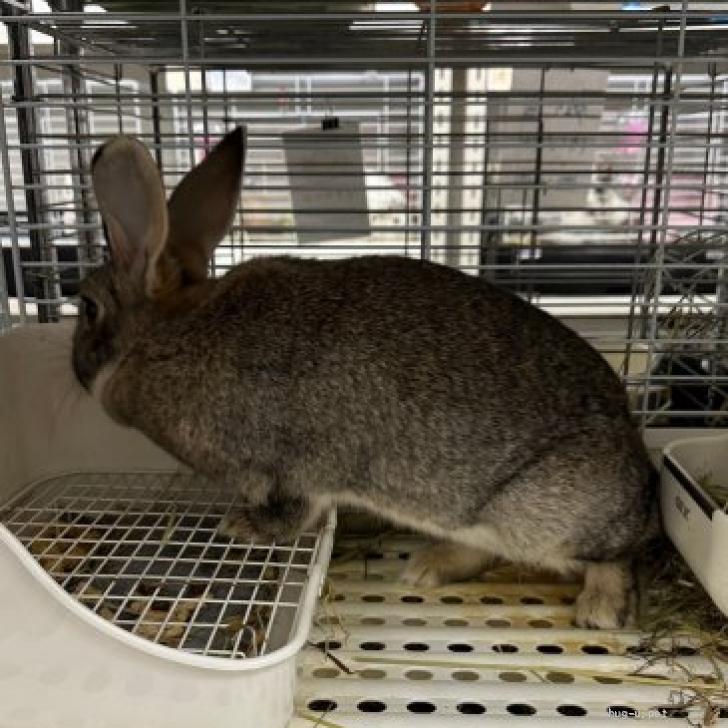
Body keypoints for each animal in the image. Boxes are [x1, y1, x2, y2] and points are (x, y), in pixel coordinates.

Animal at [72, 126, 660, 630]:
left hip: (547, 515)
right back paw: (427, 569)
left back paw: (600, 610)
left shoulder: (288, 468)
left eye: (86, 307)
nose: (75, 372)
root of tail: (638, 456)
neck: (169, 335)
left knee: (620, 552)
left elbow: (293, 513)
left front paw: (241, 527)